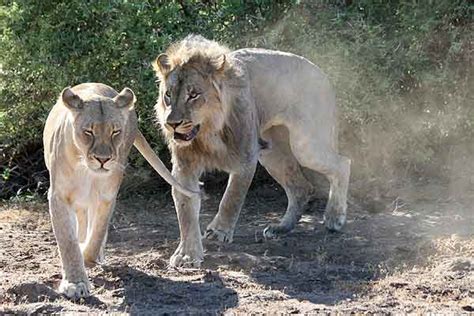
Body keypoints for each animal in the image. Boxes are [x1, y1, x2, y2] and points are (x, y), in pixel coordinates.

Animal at [42, 82, 194, 298]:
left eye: (115, 132)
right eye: (88, 131)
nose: (103, 159)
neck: (87, 171)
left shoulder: (107, 196)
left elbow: (98, 231)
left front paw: (88, 256)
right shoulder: (59, 196)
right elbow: (68, 241)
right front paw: (75, 283)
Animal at [154, 35, 350, 266]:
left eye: (193, 95)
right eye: (168, 95)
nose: (172, 123)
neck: (207, 132)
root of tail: (322, 74)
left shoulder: (245, 158)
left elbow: (232, 197)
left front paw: (219, 230)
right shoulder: (185, 168)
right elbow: (185, 211)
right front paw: (187, 254)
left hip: (305, 145)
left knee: (343, 163)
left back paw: (334, 217)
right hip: (272, 153)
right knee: (301, 187)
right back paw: (280, 228)